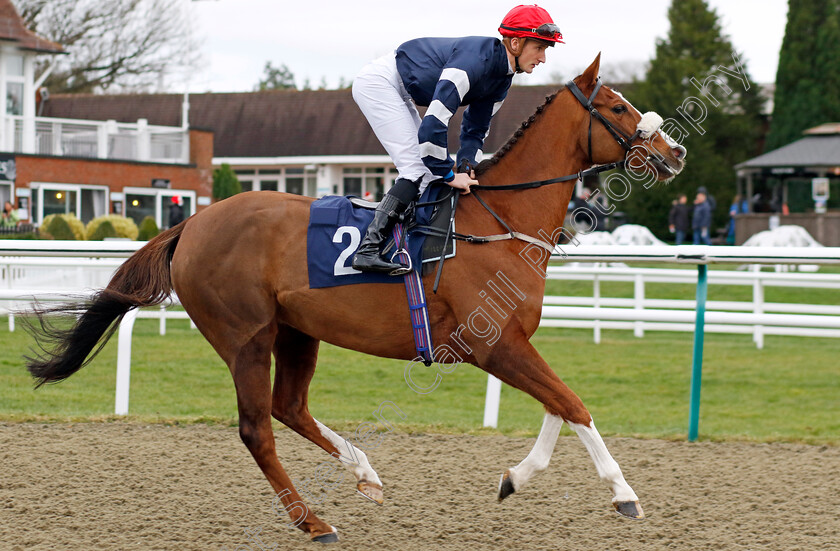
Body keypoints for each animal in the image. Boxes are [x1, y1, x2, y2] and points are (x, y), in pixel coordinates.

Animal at [24, 54, 684, 544]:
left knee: (289, 406)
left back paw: (363, 472)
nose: (674, 152)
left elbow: (558, 407)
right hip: (245, 336)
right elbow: (573, 404)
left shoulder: (512, 344)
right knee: (257, 427)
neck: (497, 223)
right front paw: (625, 495)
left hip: (297, 331)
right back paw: (314, 521)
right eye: (618, 107)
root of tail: (191, 223)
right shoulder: (493, 345)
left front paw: (515, 478)